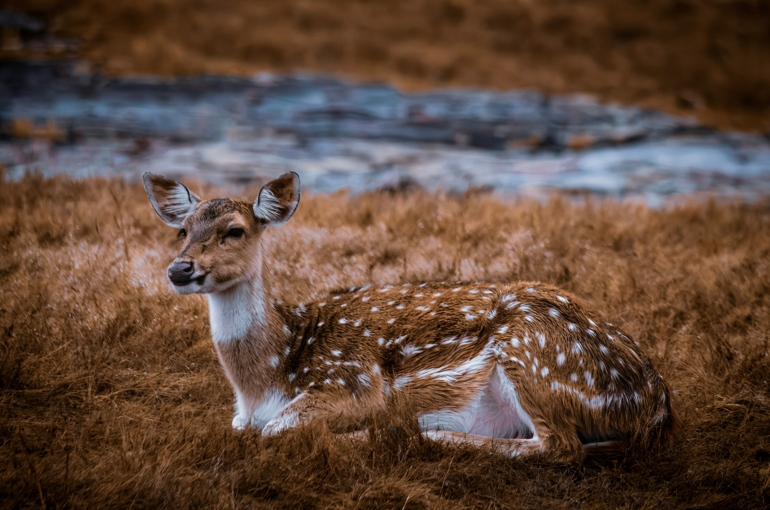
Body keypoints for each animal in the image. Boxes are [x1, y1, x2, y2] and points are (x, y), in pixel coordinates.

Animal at [142, 171, 672, 462]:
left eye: (234, 230)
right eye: (183, 230)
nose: (179, 269)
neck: (268, 375)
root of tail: (656, 406)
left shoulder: (352, 382)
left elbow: (276, 429)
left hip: (533, 353)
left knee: (560, 447)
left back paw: (410, 433)